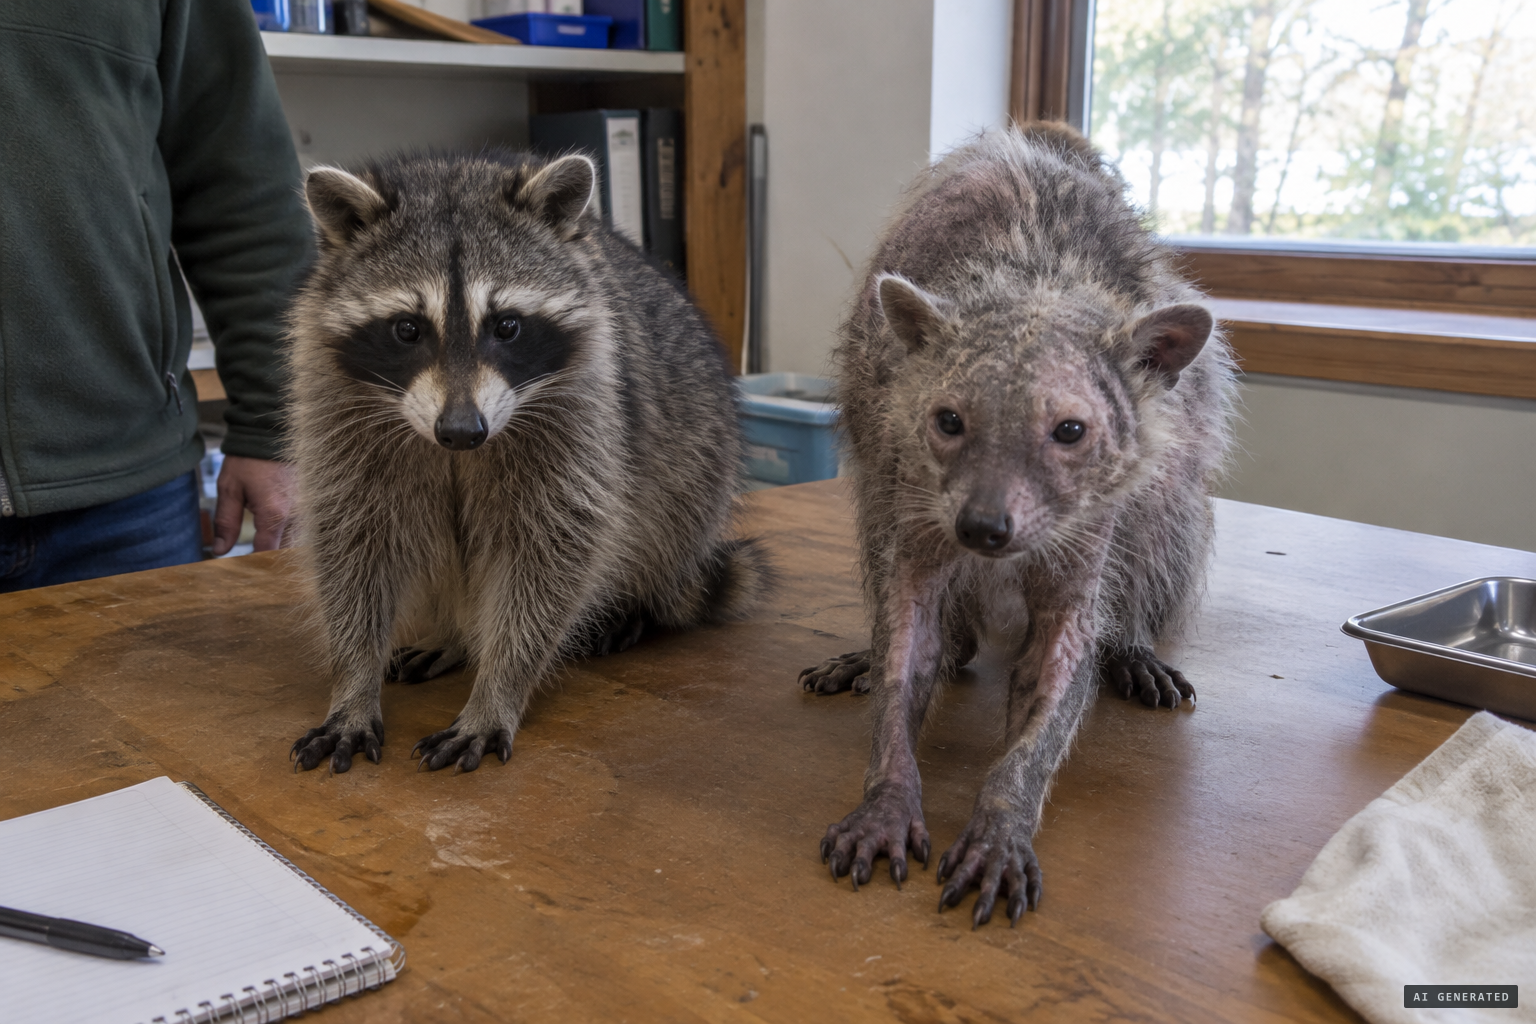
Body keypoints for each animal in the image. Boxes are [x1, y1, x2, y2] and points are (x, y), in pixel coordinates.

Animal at [286, 151, 770, 775]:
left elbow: (552, 552)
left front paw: (499, 687)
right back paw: (453, 634)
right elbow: (353, 544)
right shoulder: (338, 411)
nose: (461, 432)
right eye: (407, 329)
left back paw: (633, 602)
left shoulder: (584, 416)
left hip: (697, 457)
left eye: (508, 326)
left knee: (667, 513)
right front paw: (352, 681)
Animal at [799, 125, 1237, 926]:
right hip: (878, 457)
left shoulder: (1088, 518)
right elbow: (910, 630)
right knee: (878, 533)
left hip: (1174, 457)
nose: (984, 530)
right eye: (949, 421)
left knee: (1171, 512)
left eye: (1070, 430)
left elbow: (1058, 662)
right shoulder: (918, 484)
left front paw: (1006, 805)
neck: (1037, 286)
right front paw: (890, 785)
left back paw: (1131, 637)